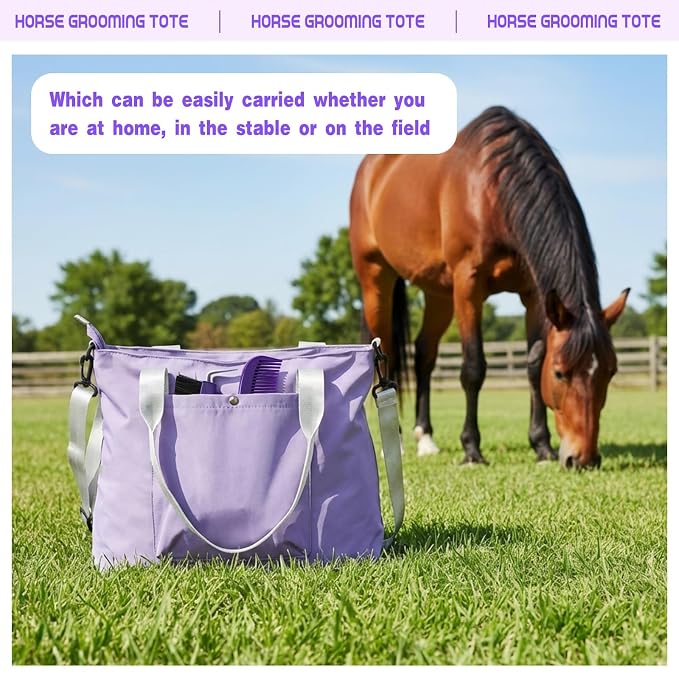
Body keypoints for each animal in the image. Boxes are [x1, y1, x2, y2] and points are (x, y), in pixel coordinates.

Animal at [349, 106, 629, 469]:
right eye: (560, 374)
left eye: (610, 372)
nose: (583, 459)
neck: (489, 191)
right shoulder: (468, 285)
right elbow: (473, 368)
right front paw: (472, 449)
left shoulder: (534, 295)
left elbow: (532, 365)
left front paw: (542, 446)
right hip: (376, 278)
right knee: (386, 351)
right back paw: (393, 443)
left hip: (438, 293)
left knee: (425, 354)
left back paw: (425, 438)